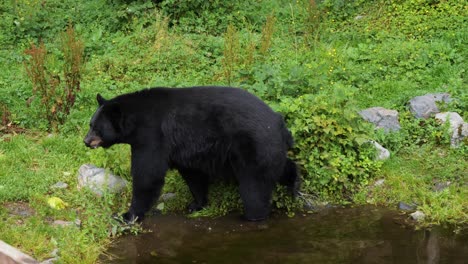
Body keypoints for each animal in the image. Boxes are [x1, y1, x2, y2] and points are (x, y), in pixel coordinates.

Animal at [84, 87, 298, 223]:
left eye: (96, 128)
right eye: (90, 124)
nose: (86, 141)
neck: (135, 122)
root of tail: (279, 122)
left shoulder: (152, 136)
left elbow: (148, 175)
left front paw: (128, 215)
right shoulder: (184, 147)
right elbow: (193, 174)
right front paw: (197, 204)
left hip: (253, 145)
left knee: (254, 186)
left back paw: (253, 215)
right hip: (267, 148)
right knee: (279, 168)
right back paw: (295, 184)